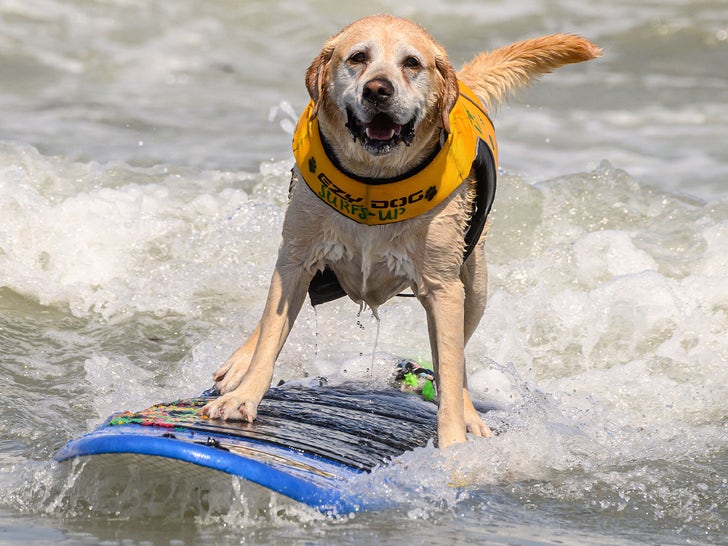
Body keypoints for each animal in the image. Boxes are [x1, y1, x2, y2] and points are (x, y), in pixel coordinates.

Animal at [202, 13, 600, 446]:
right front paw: (243, 396)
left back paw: (471, 416)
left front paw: (453, 445)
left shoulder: (444, 289)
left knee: (457, 359)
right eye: (358, 57)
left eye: (411, 63)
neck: (374, 182)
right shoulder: (295, 258)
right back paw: (237, 364)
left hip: (474, 284)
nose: (378, 89)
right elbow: (272, 334)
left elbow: (449, 368)